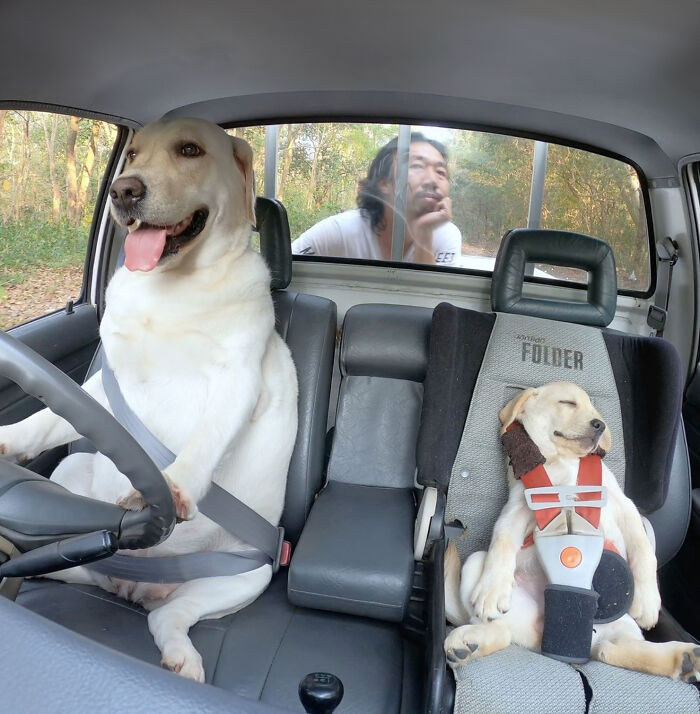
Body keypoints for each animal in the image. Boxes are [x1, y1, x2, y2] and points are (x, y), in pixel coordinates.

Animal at [0, 117, 298, 680]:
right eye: (133, 153)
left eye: (190, 150)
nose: (123, 190)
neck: (174, 290)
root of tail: (130, 585)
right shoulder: (102, 386)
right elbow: (46, 419)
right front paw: (7, 437)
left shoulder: (237, 380)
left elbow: (205, 440)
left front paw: (175, 484)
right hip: (71, 491)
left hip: (247, 576)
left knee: (168, 619)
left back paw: (181, 656)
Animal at [446, 382, 700, 680]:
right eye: (567, 403)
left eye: (594, 408)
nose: (600, 424)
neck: (563, 462)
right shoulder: (517, 508)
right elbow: (502, 541)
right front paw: (492, 590)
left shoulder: (624, 506)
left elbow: (644, 549)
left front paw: (648, 600)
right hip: (477, 565)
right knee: (504, 632)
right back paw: (469, 642)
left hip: (623, 627)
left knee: (612, 651)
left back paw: (686, 658)